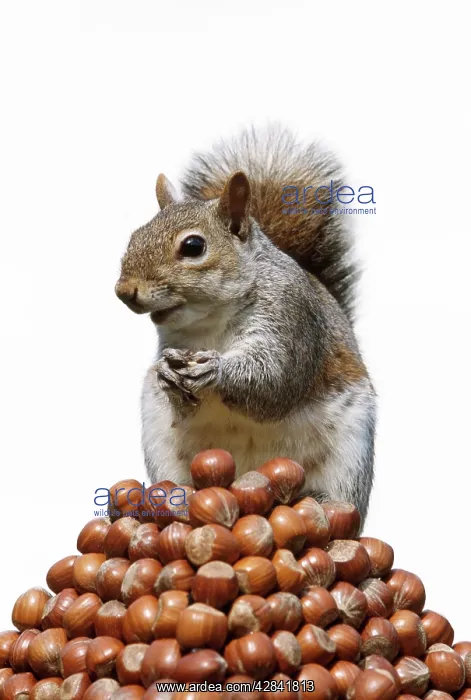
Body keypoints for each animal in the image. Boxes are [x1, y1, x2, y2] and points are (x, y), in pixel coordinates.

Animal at [115, 127, 376, 523]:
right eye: (134, 237)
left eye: (193, 246)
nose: (123, 290)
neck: (212, 320)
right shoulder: (172, 340)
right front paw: (165, 374)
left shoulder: (292, 319)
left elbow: (276, 380)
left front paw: (216, 370)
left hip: (350, 457)